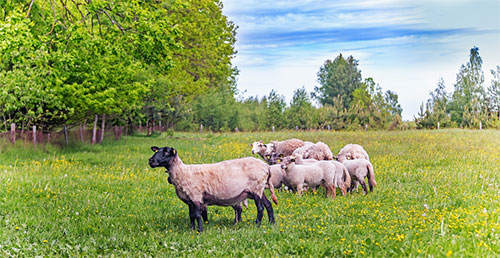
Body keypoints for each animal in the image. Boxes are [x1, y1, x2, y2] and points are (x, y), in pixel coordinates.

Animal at [150, 146, 280, 233]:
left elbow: (197, 215)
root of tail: (266, 166)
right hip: (260, 189)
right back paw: (271, 223)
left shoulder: (196, 196)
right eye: (156, 151)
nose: (150, 161)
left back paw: (257, 225)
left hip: (256, 188)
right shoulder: (189, 200)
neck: (182, 172)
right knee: (268, 205)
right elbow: (191, 215)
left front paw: (200, 231)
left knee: (261, 208)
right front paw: (192, 229)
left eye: (166, 152)